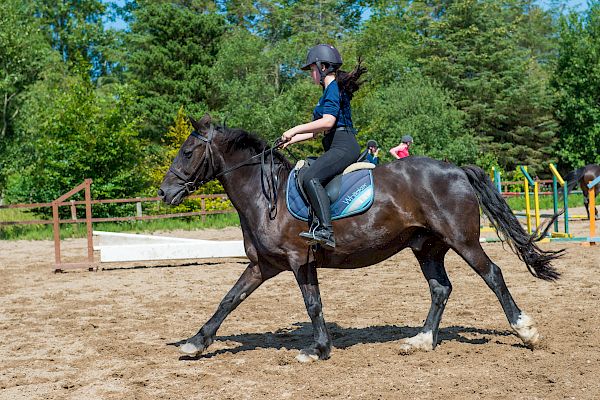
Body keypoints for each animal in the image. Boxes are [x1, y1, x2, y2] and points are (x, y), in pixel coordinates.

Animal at [156, 115, 564, 362]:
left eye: (188, 151)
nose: (163, 192)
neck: (263, 197)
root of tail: (456, 170)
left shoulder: (299, 260)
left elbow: (313, 304)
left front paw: (318, 349)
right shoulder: (263, 266)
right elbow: (229, 300)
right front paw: (196, 342)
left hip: (462, 241)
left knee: (492, 274)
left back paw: (525, 331)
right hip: (427, 247)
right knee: (440, 289)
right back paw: (421, 340)